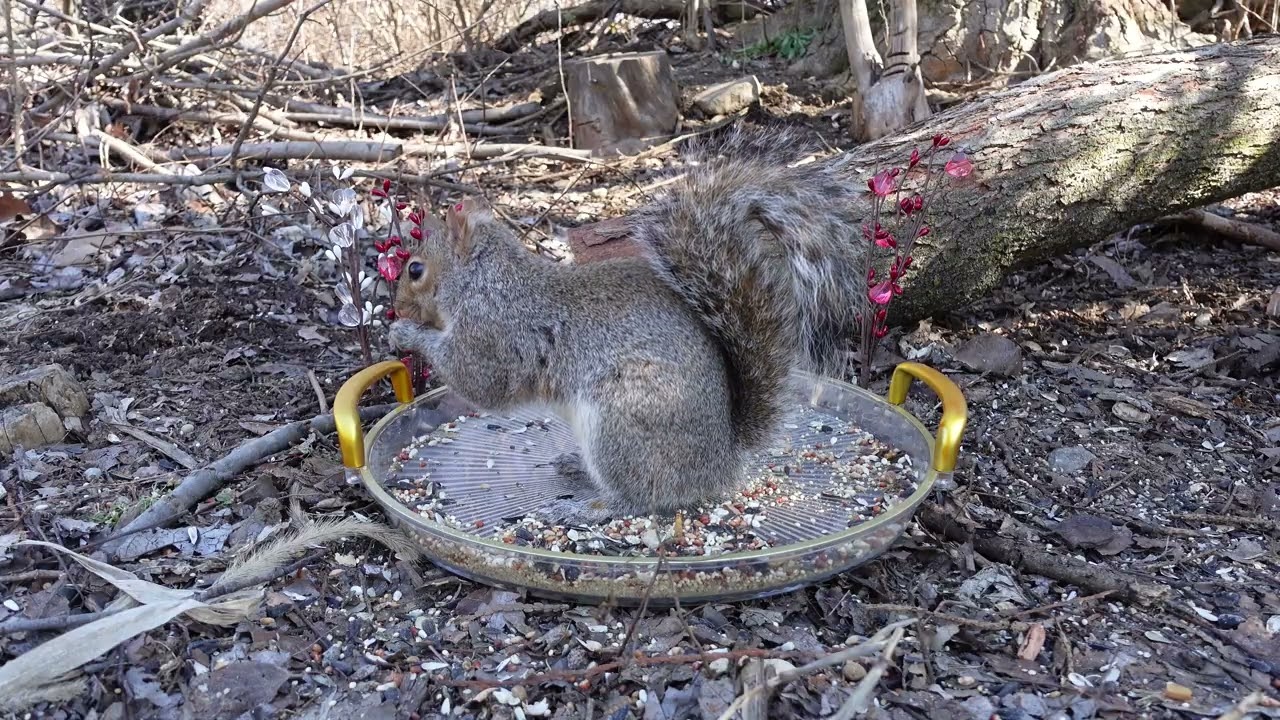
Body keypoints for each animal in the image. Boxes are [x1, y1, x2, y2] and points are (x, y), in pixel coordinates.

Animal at [389, 125, 868, 520]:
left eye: (415, 269)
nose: (396, 308)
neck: (483, 279)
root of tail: (721, 463)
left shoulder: (493, 332)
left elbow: (477, 382)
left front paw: (406, 334)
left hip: (622, 420)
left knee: (640, 498)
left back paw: (586, 509)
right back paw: (576, 466)